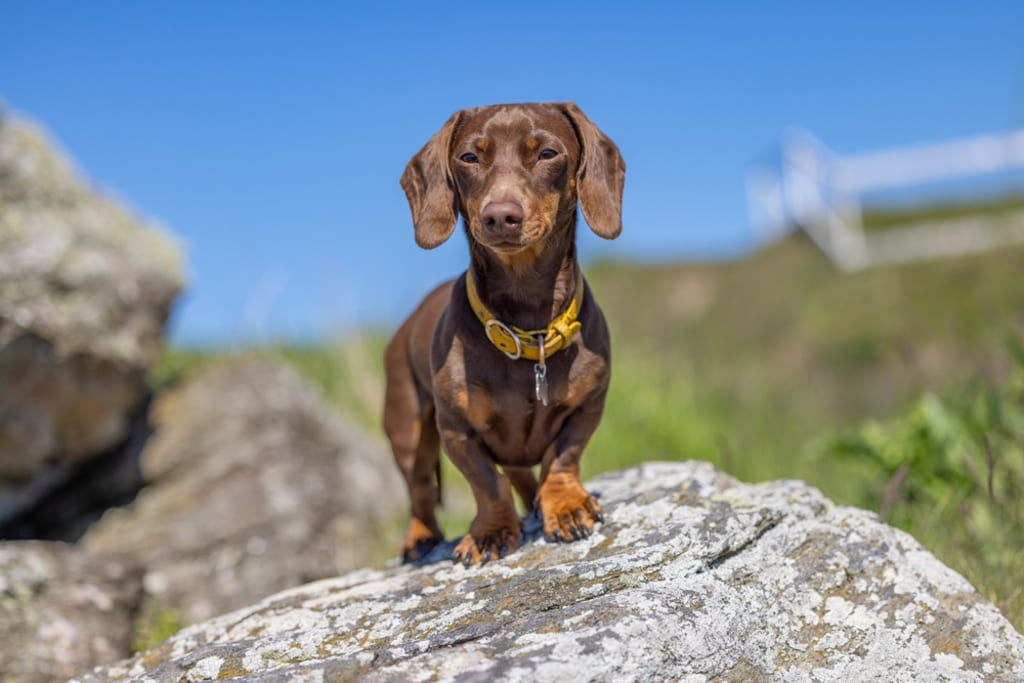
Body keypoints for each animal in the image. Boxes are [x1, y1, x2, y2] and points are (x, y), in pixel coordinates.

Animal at [385, 102, 622, 565]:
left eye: (547, 153)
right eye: (469, 157)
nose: (500, 215)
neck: (528, 327)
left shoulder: (588, 407)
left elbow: (562, 457)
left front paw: (565, 507)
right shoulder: (456, 430)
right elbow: (486, 482)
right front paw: (491, 532)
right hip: (407, 427)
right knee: (420, 488)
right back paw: (419, 537)